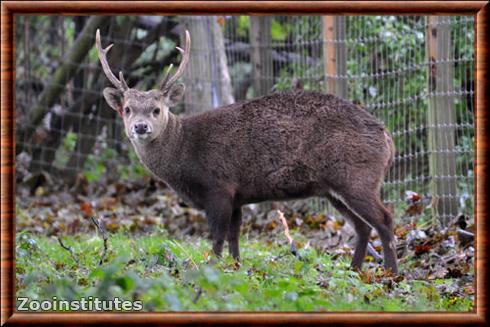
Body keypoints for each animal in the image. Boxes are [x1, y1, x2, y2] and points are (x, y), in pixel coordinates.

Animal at [94, 29, 398, 274]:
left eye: (157, 109)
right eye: (127, 109)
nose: (140, 127)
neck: (185, 152)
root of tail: (387, 137)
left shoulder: (218, 186)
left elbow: (218, 236)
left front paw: (213, 268)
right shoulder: (237, 195)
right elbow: (234, 237)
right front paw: (236, 267)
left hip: (357, 177)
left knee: (384, 219)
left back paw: (391, 274)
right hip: (334, 188)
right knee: (363, 226)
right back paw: (355, 270)